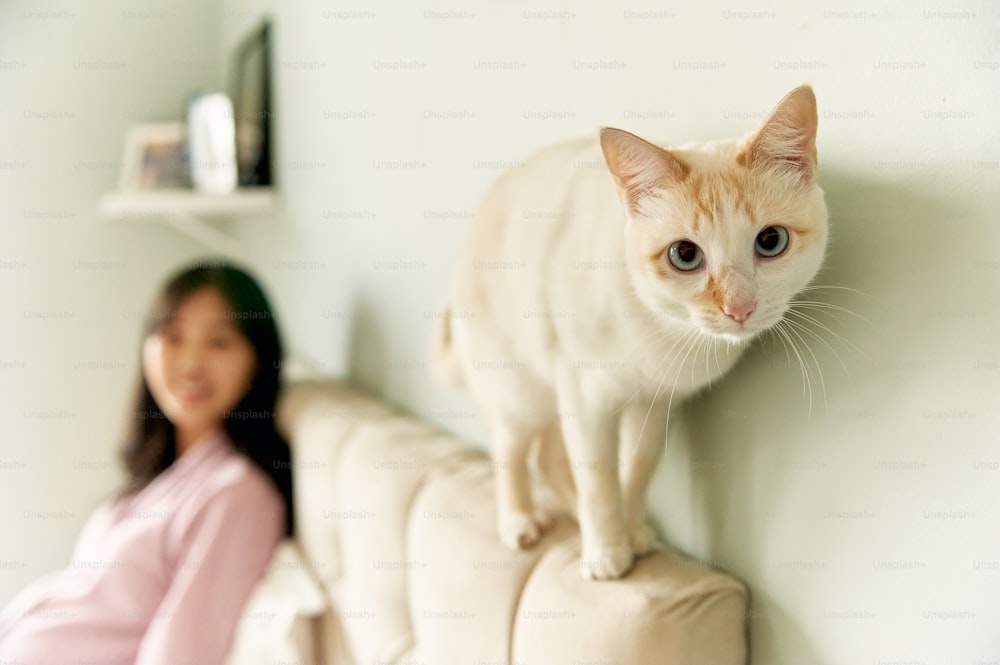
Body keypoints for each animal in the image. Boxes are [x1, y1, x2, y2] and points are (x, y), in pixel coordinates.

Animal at [432, 85, 828, 580]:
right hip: (518, 390)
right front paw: (606, 553)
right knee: (511, 451)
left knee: (548, 455)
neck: (664, 329)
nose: (739, 308)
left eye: (771, 241)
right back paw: (519, 521)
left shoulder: (653, 404)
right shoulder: (585, 399)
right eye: (684, 255)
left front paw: (634, 533)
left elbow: (637, 469)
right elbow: (599, 480)